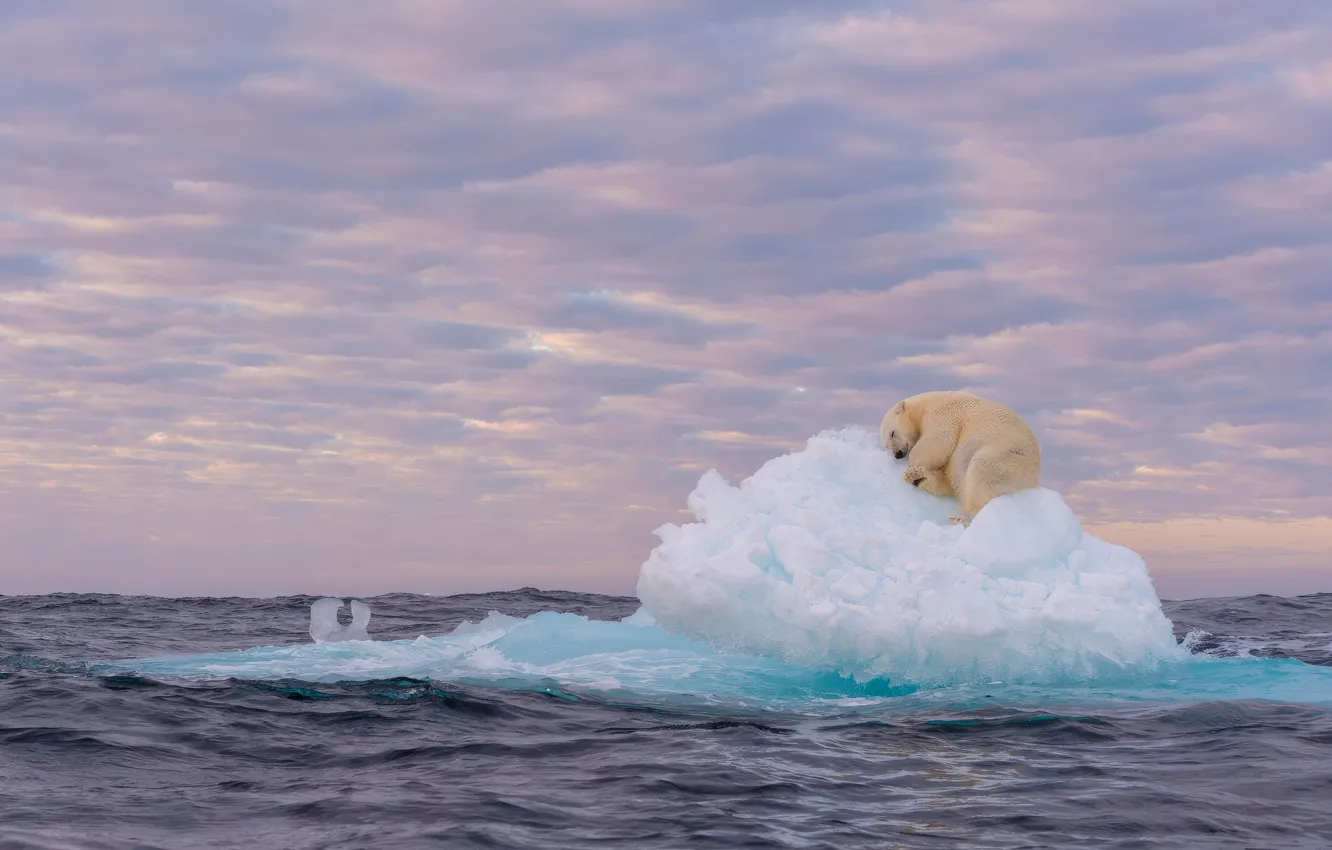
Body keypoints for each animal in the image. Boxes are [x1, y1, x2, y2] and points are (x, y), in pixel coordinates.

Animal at [879, 390, 1041, 527]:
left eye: (892, 433)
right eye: (887, 444)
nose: (897, 454)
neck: (925, 404)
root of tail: (1034, 479)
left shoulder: (943, 414)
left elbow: (940, 441)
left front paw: (913, 465)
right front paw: (915, 472)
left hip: (1008, 457)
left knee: (983, 473)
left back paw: (961, 517)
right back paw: (919, 478)